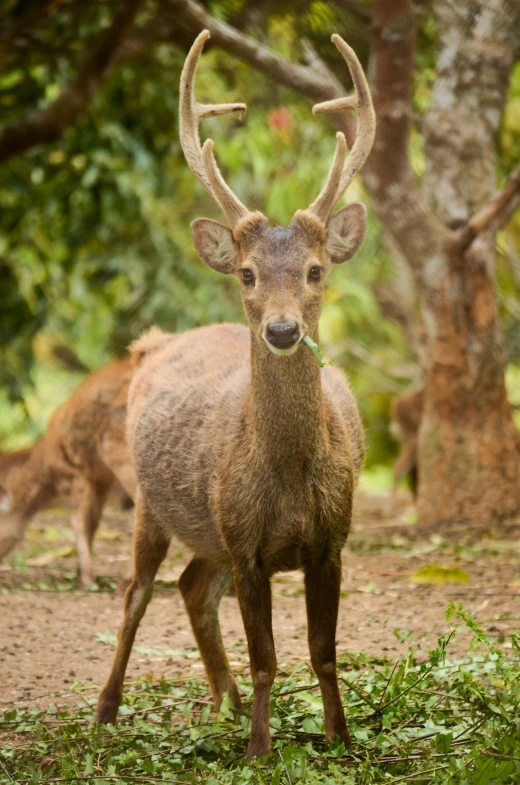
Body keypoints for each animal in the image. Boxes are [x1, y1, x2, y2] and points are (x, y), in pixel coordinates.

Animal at [0, 358, 137, 584]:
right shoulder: (100, 479)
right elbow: (92, 523)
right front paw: (82, 572)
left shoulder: (76, 473)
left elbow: (78, 523)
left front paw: (87, 579)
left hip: (117, 448)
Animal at [94, 30, 374, 760]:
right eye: (247, 272)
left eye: (316, 269)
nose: (281, 329)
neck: (289, 477)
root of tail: (152, 343)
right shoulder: (247, 542)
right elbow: (268, 656)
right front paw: (259, 751)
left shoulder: (331, 538)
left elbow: (323, 650)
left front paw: (340, 738)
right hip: (149, 500)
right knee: (137, 591)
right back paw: (107, 709)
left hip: (207, 525)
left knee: (192, 589)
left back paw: (225, 703)